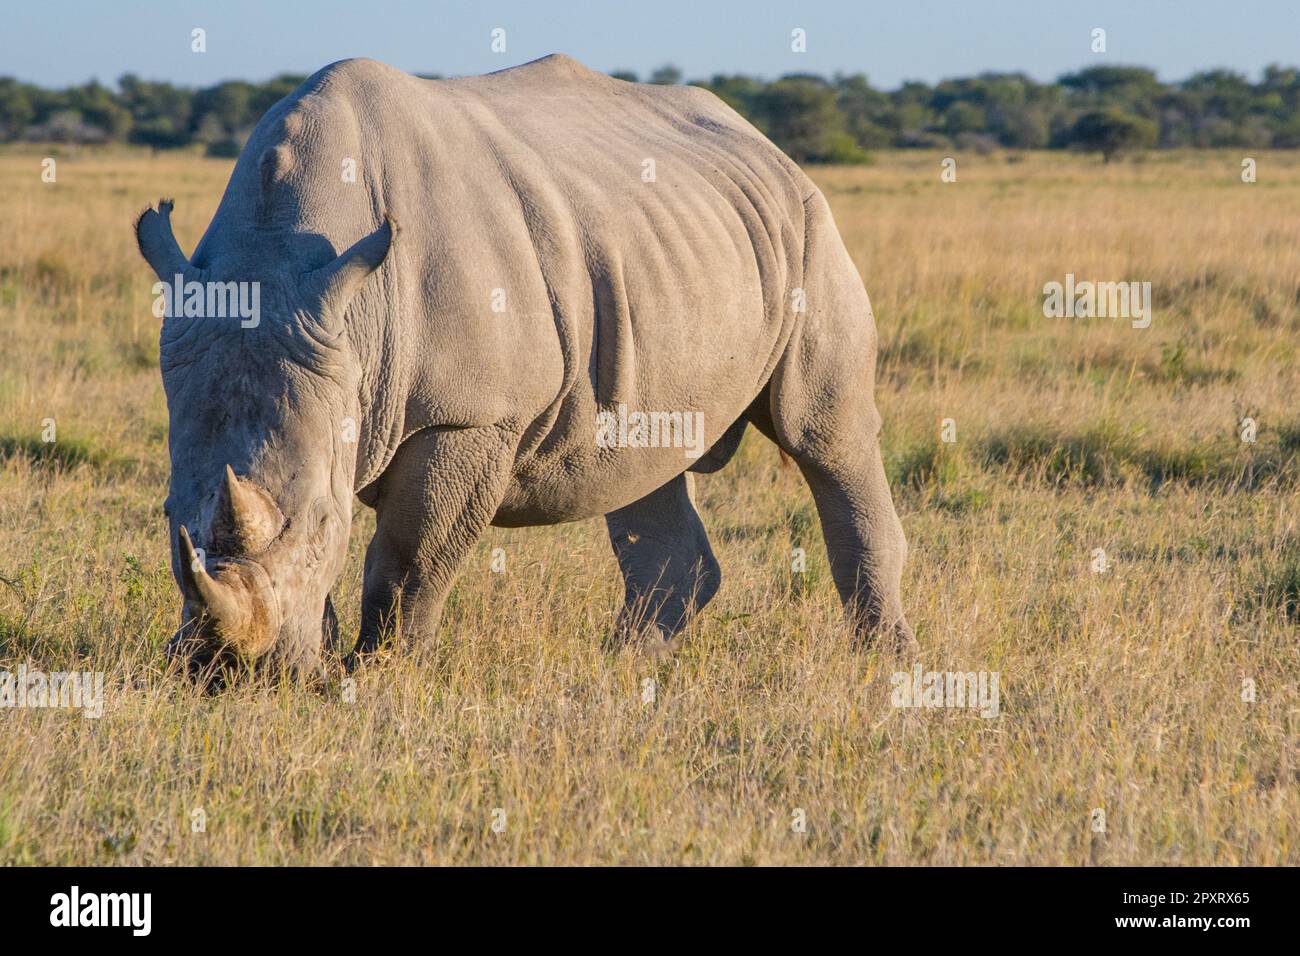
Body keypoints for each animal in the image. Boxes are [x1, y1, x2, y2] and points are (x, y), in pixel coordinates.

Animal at [129, 54, 904, 681]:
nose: (222, 675)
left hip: (811, 227)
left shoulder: (470, 415)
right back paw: (622, 668)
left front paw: (377, 675)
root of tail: (766, 144)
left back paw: (881, 666)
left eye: (324, 521)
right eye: (167, 515)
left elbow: (410, 559)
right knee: (644, 461)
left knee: (824, 437)